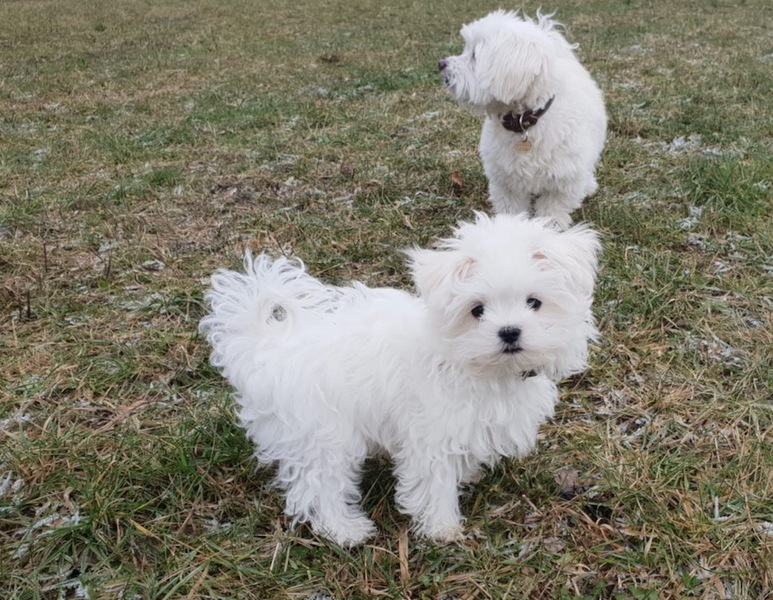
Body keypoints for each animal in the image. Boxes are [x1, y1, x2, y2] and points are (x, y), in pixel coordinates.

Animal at [199, 213, 600, 546]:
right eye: (477, 310)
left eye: (534, 302)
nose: (510, 332)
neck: (471, 363)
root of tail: (268, 346)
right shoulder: (431, 433)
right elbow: (434, 481)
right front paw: (442, 528)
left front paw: (468, 474)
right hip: (321, 433)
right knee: (317, 486)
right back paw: (344, 531)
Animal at [439, 10, 607, 229]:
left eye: (474, 55)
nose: (441, 64)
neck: (524, 122)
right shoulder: (506, 183)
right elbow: (512, 210)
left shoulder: (561, 184)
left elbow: (552, 211)